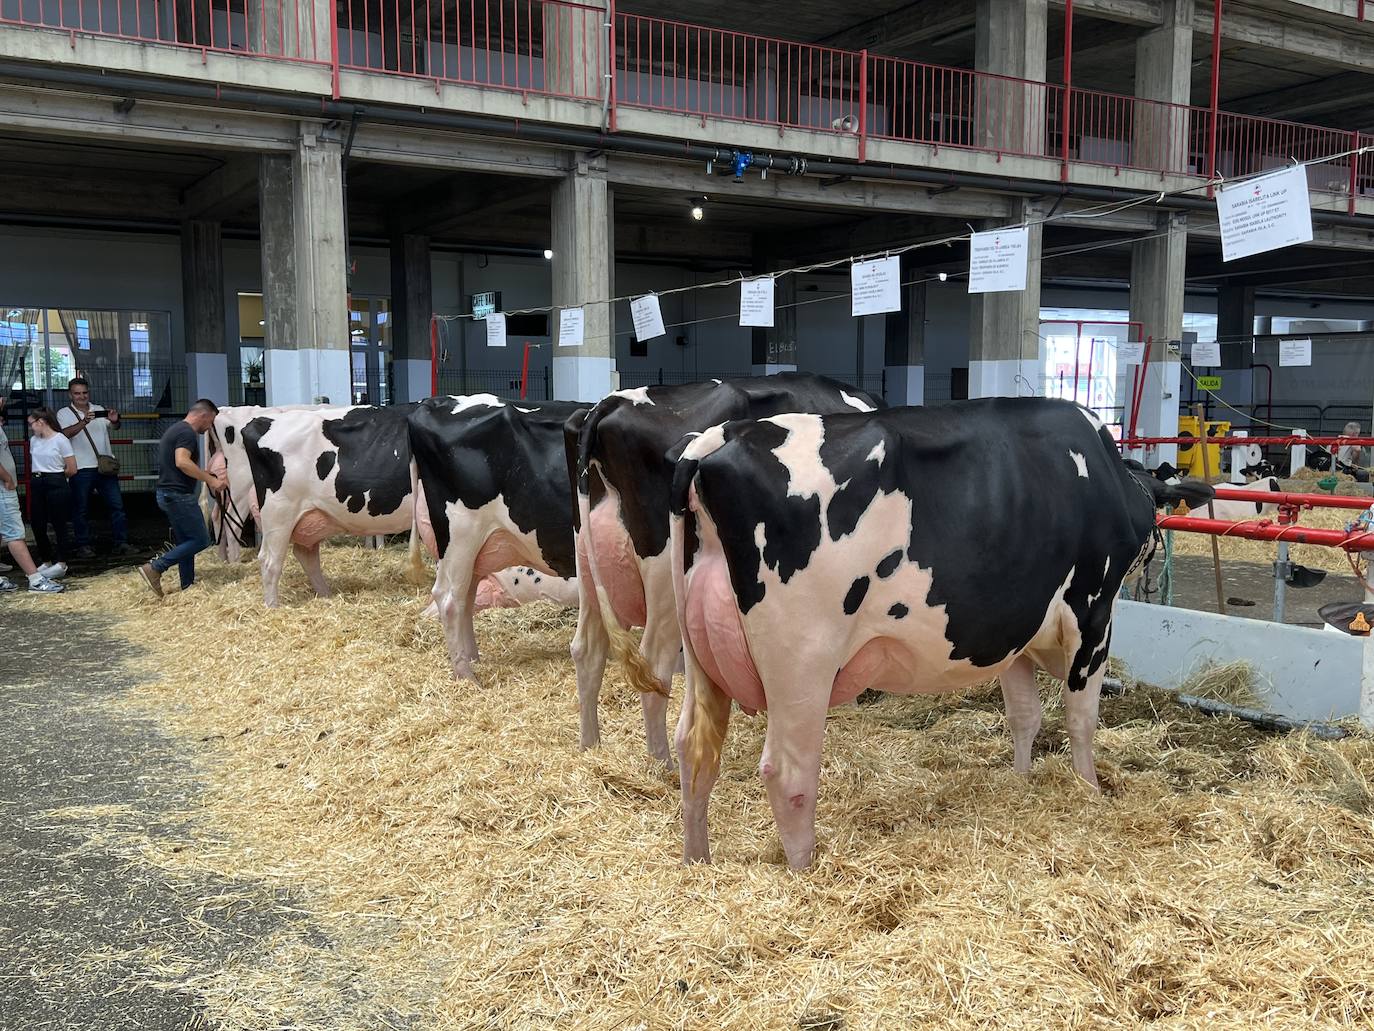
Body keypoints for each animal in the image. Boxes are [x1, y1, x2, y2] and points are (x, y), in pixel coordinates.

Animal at [406, 393, 590, 679]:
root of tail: (436, 401)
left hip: (476, 549)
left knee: (466, 598)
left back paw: (473, 659)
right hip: (460, 534)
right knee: (448, 599)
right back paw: (466, 675)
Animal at [566, 376, 879, 764]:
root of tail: (609, 403)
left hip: (588, 566)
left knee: (587, 648)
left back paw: (589, 744)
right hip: (664, 575)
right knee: (653, 662)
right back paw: (661, 762)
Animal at [667, 398, 1214, 868]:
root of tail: (724, 436)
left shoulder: (1011, 627)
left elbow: (1025, 716)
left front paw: (1021, 782)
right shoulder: (1092, 613)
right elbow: (1081, 720)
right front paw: (1090, 791)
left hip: (700, 655)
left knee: (694, 748)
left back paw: (698, 862)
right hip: (803, 659)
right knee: (788, 772)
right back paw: (806, 870)